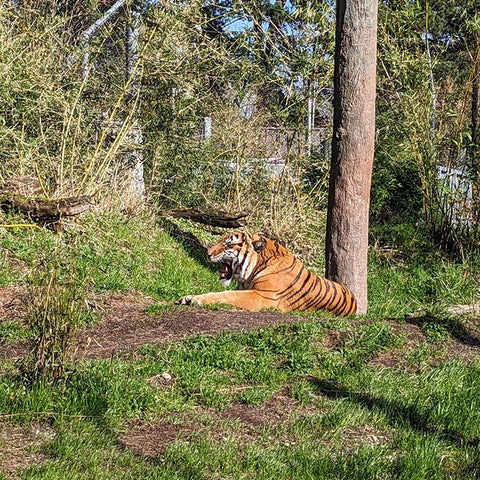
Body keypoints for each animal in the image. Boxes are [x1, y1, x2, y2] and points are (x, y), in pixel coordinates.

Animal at [176, 232, 356, 316]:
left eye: (228, 244)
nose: (207, 253)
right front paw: (188, 297)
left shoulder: (262, 296)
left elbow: (228, 295)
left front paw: (196, 299)